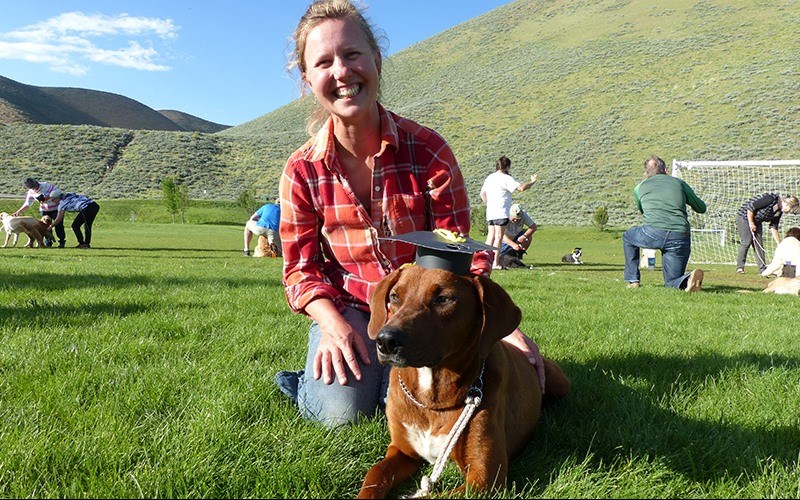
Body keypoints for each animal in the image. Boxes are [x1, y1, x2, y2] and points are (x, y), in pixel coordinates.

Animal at [356, 268, 568, 498]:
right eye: (394, 296)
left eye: (444, 299)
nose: (385, 341)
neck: (432, 401)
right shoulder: (402, 451)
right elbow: (375, 473)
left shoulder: (484, 478)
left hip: (559, 380)